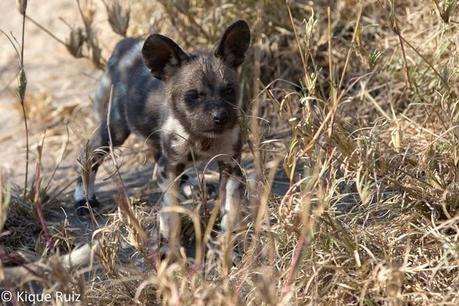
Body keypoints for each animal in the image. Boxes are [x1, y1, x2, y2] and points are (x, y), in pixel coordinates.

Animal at [74, 20, 252, 256]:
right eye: (193, 95)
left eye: (229, 90)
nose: (220, 117)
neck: (201, 138)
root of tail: (127, 44)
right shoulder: (170, 169)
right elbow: (170, 216)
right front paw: (170, 250)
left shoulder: (231, 166)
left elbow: (230, 213)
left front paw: (227, 246)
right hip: (114, 131)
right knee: (88, 157)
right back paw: (84, 200)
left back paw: (190, 187)